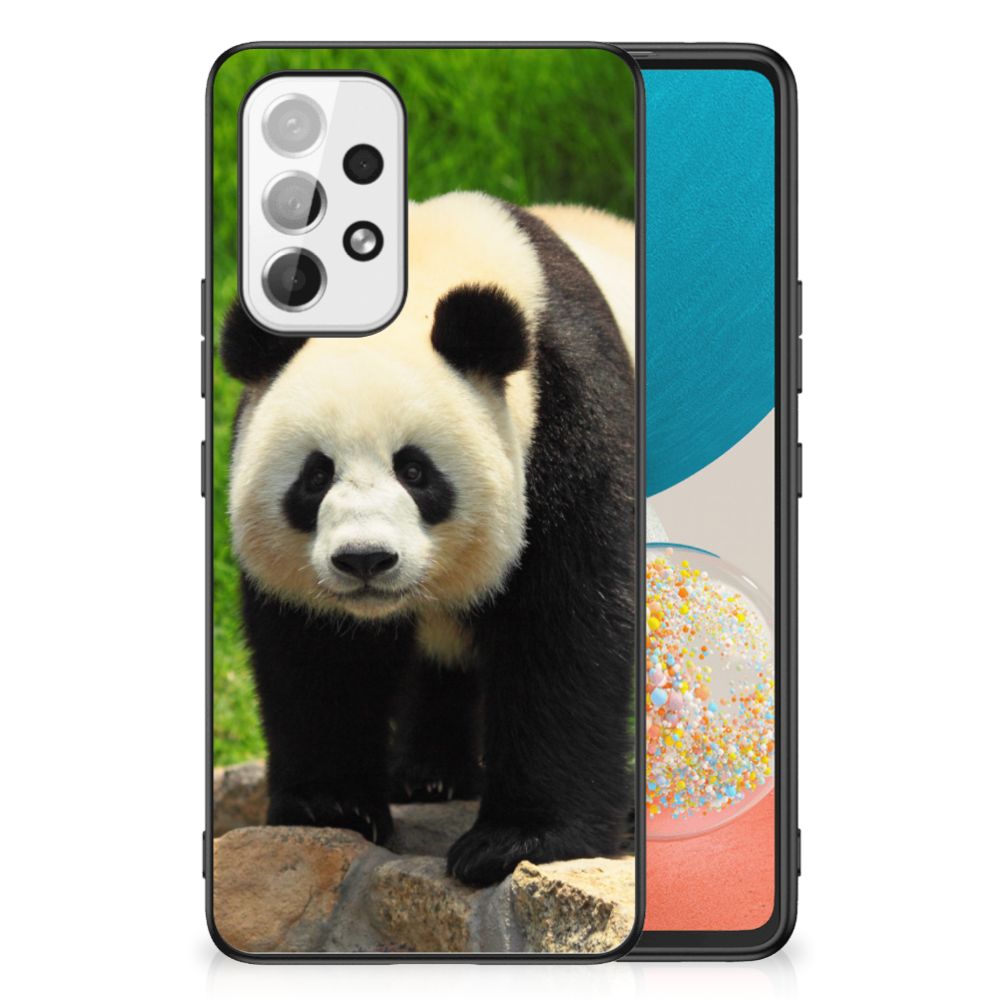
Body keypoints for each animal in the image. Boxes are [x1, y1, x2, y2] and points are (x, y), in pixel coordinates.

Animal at [221, 192, 636, 887]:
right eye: (315, 475)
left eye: (415, 471)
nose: (365, 560)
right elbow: (318, 653)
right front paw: (330, 807)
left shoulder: (570, 419)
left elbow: (568, 626)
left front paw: (516, 841)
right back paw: (429, 775)